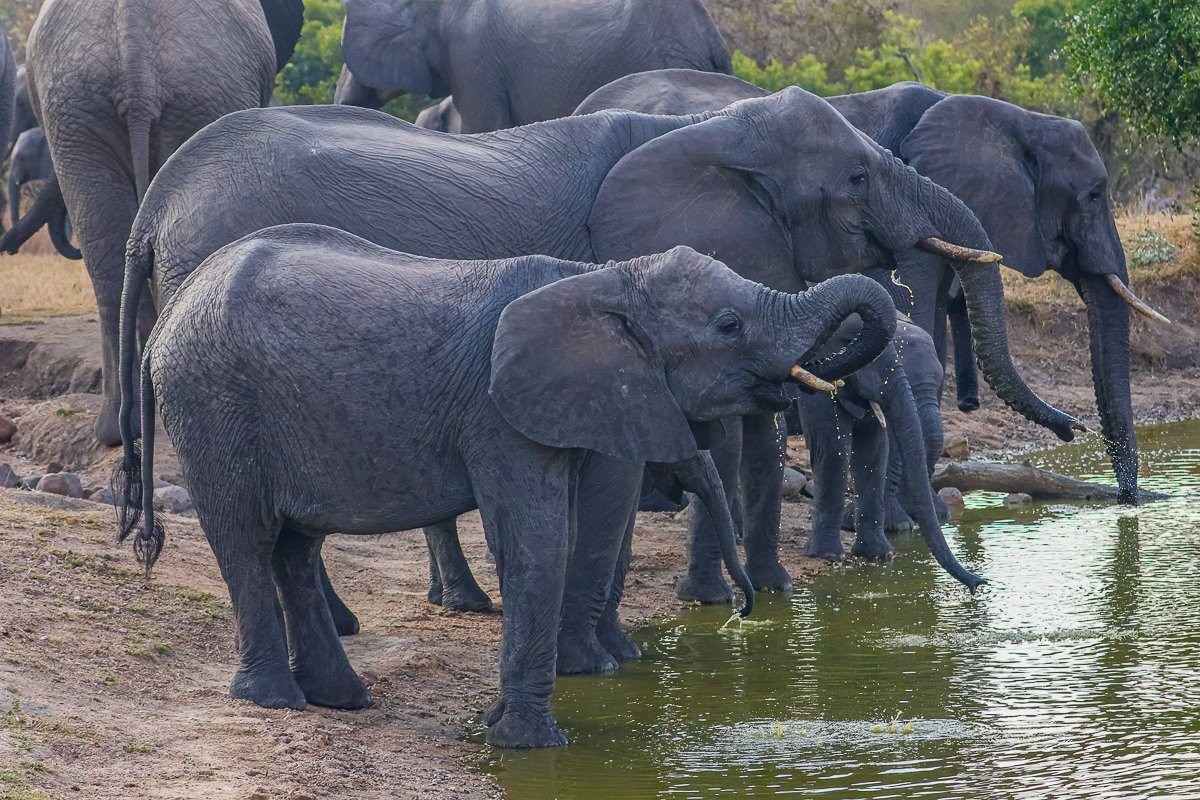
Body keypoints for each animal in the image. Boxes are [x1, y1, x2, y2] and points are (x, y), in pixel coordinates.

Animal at [118, 225, 898, 747]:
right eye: (729, 324)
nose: (745, 610)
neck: (599, 279)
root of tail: (167, 316)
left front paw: (509, 725)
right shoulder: (498, 414)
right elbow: (536, 538)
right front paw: (531, 745)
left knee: (295, 547)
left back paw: (342, 701)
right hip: (213, 404)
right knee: (248, 538)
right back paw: (277, 702)